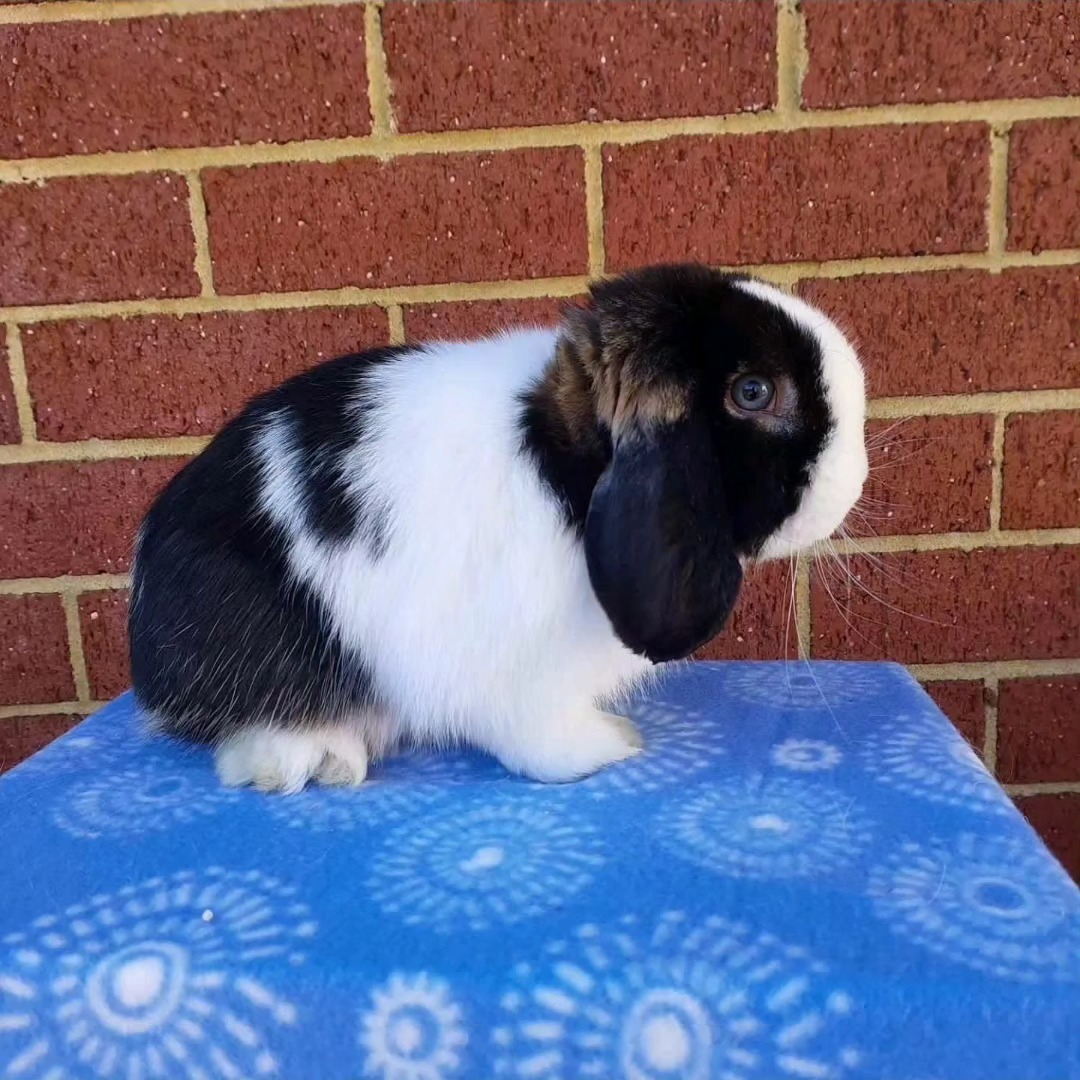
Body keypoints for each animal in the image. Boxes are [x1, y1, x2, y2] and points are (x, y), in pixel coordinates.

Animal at [129, 264, 868, 793]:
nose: (856, 479)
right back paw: (314, 760)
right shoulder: (516, 675)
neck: (564, 466)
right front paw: (612, 746)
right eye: (754, 392)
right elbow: (539, 738)